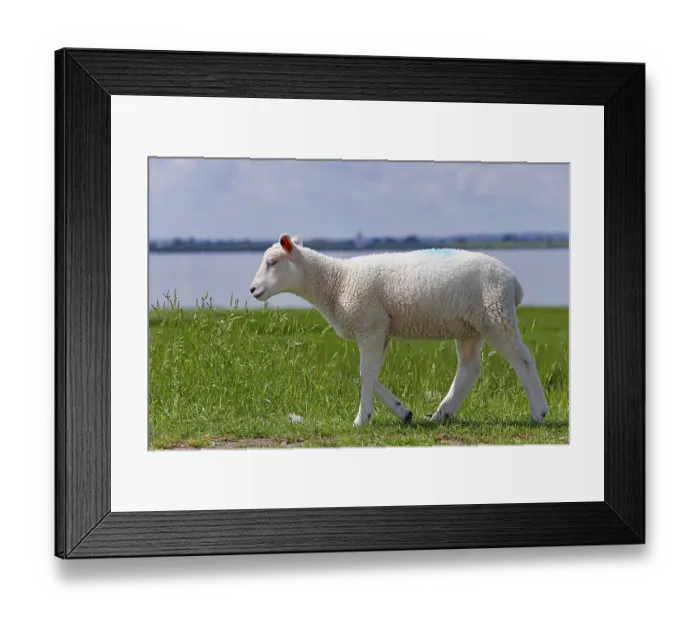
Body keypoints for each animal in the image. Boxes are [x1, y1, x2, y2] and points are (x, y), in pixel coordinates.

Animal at [249, 233, 550, 428]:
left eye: (272, 262)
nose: (252, 289)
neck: (337, 281)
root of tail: (514, 282)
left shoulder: (370, 325)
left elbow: (366, 372)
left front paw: (362, 419)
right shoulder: (380, 328)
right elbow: (370, 374)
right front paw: (402, 411)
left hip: (496, 315)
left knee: (523, 359)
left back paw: (540, 412)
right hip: (470, 326)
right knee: (469, 369)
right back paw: (442, 413)